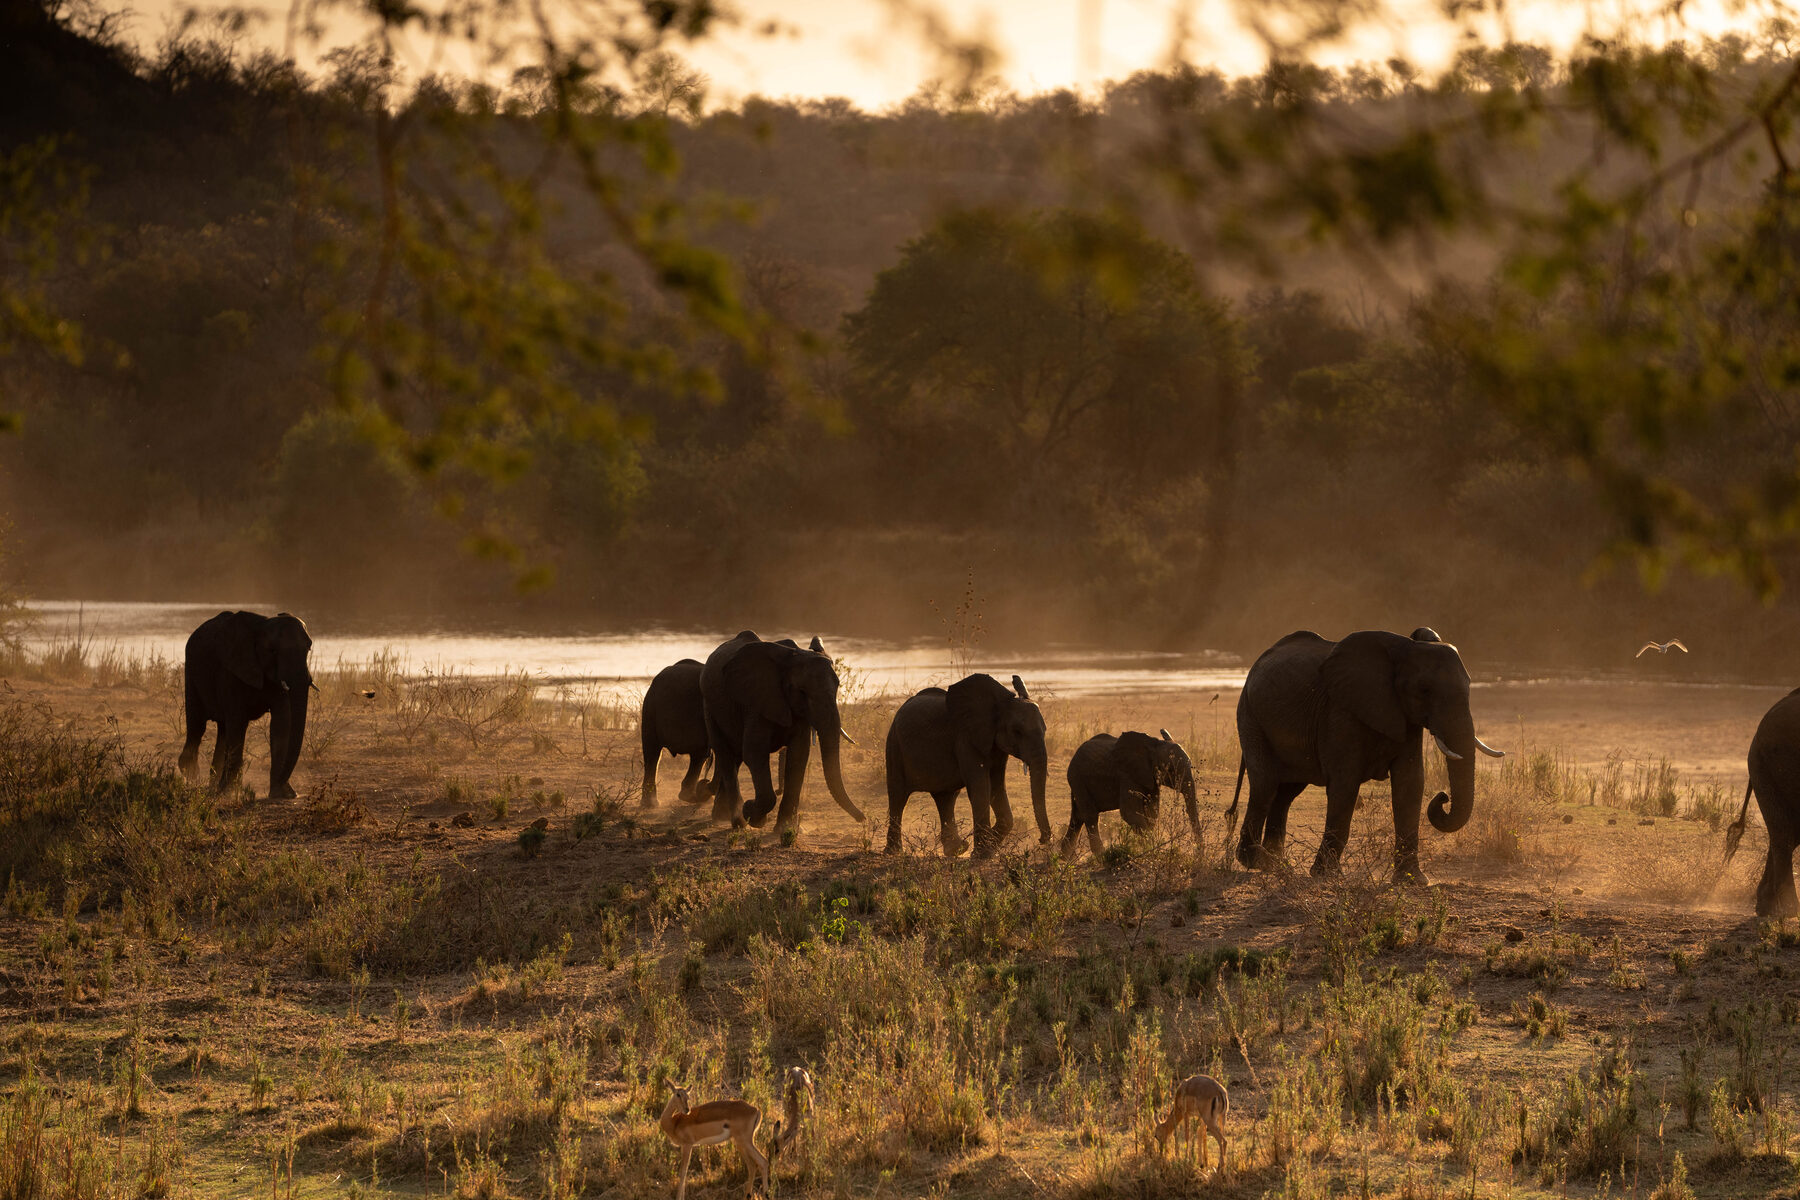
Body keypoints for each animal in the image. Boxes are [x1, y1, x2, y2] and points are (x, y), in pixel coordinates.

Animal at [178, 610, 314, 798]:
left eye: (308, 648)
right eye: (273, 651)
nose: (287, 787)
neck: (262, 626)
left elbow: (282, 723)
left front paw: (281, 794)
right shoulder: (231, 671)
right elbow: (238, 722)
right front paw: (229, 793)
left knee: (223, 730)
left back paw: (213, 786)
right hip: (191, 673)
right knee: (198, 727)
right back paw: (193, 776)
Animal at [700, 631, 864, 831]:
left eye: (837, 688)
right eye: (802, 692)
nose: (862, 818)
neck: (793, 657)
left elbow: (799, 754)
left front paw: (784, 828)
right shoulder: (756, 702)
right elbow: (754, 753)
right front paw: (752, 814)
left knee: (735, 757)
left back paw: (722, 816)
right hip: (710, 706)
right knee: (725, 754)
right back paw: (737, 822)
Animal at [883, 673, 1050, 858]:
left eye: (1045, 730)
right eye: (1017, 731)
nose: (1042, 840)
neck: (999, 705)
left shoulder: (996, 745)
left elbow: (997, 785)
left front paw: (990, 845)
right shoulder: (965, 738)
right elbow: (981, 788)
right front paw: (983, 853)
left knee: (946, 798)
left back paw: (957, 849)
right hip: (894, 745)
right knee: (898, 796)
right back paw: (894, 853)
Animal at [1063, 728, 1200, 856]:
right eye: (1171, 770)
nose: (1198, 853)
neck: (1154, 746)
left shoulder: (1151, 779)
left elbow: (1151, 813)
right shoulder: (1127, 775)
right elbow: (1130, 812)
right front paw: (1148, 849)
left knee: (1077, 817)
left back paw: (1064, 857)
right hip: (1077, 778)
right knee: (1090, 815)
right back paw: (1101, 856)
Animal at [1228, 628, 1505, 884]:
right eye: (1424, 690)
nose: (1443, 797)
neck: (1405, 648)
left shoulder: (1404, 717)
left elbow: (1410, 784)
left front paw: (1413, 881)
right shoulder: (1340, 711)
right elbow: (1345, 786)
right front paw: (1328, 877)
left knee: (1286, 794)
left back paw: (1274, 865)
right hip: (1250, 716)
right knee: (1265, 786)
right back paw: (1253, 861)